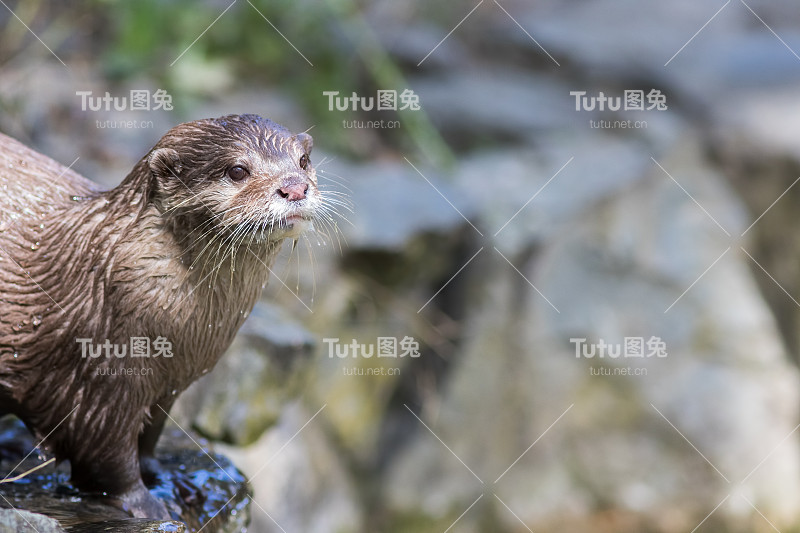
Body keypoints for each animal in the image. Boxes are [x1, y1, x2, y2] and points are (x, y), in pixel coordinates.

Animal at [0, 114, 318, 516]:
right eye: (237, 170)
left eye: (303, 161)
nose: (295, 187)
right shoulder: (103, 378)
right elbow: (106, 456)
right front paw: (146, 504)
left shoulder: (168, 388)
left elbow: (149, 438)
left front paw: (168, 479)